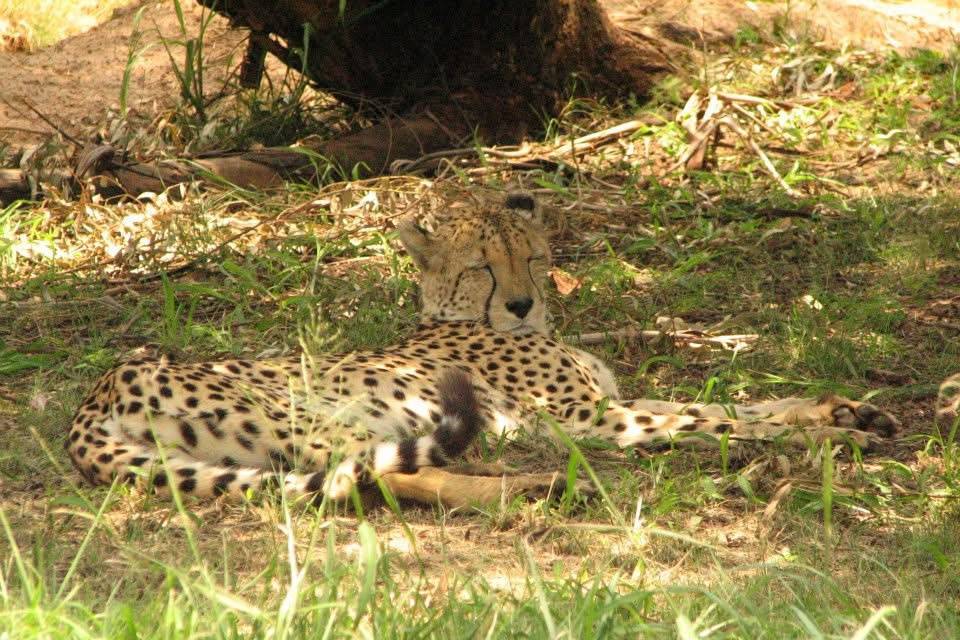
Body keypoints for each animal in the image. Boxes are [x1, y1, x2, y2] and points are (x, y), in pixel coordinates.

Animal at [66, 190, 901, 509]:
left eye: (529, 257)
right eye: (480, 266)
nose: (523, 302)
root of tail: (101, 389)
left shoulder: (605, 401)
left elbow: (734, 403)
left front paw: (842, 410)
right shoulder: (587, 418)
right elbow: (710, 420)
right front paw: (829, 438)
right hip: (323, 414)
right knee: (369, 481)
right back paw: (529, 487)